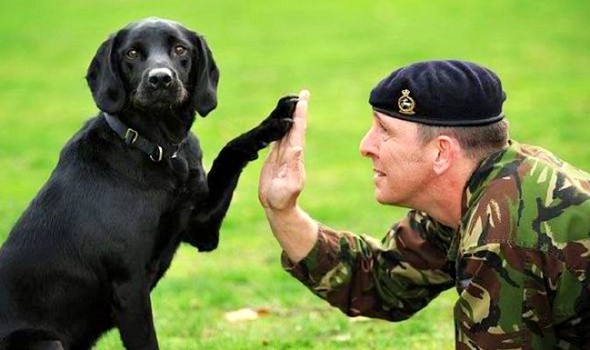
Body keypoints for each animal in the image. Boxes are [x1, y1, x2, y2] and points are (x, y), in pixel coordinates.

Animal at [0, 17, 296, 348]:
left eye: (180, 49)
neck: (158, 148)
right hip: (43, 340)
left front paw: (272, 122)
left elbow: (230, 151)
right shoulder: (129, 287)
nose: (160, 79)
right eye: (131, 53)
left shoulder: (202, 230)